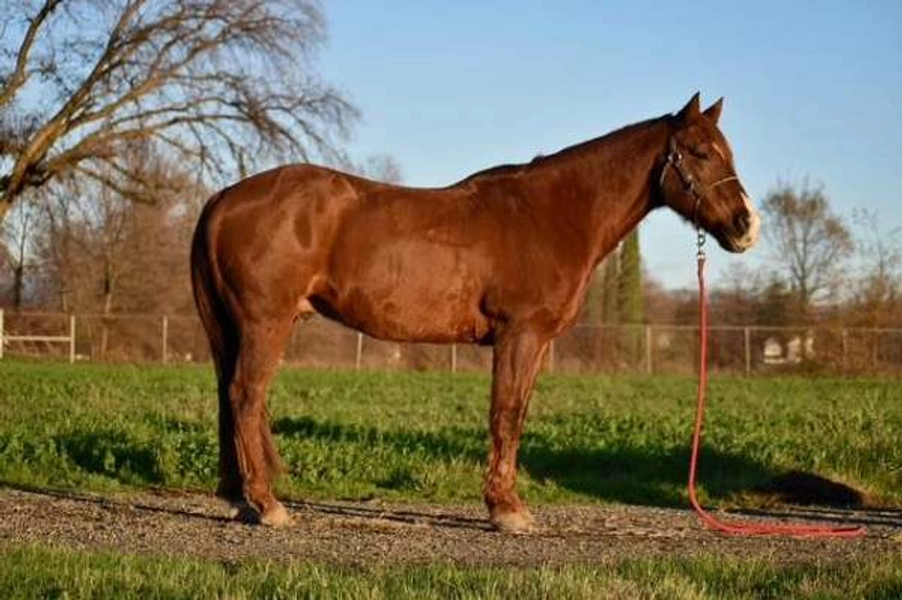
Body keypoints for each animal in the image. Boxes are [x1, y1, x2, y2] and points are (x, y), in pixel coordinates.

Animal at [190, 93, 760, 532]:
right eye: (700, 152)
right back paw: (267, 505)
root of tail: (224, 198)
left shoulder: (535, 343)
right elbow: (505, 415)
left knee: (229, 397)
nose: (746, 225)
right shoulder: (519, 335)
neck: (552, 214)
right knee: (245, 397)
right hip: (265, 323)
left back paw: (239, 498)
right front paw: (507, 511)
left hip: (239, 329)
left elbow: (517, 414)